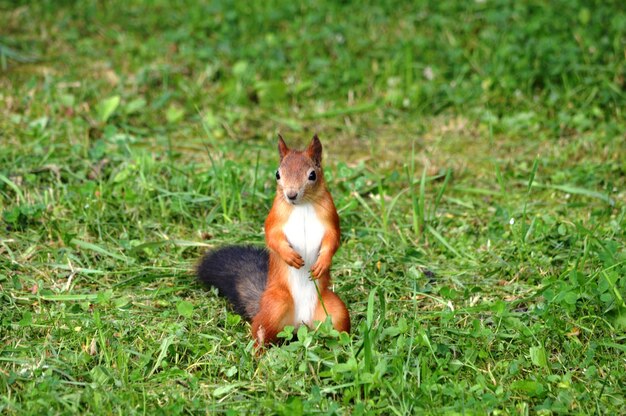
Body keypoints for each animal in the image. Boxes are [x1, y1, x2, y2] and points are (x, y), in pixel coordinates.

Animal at [197, 134, 348, 348]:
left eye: (312, 175)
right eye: (278, 174)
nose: (291, 195)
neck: (302, 206)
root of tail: (299, 323)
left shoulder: (330, 218)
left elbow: (333, 239)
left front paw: (322, 263)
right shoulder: (274, 217)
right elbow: (272, 236)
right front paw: (290, 256)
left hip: (334, 310)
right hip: (275, 306)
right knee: (260, 331)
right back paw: (258, 353)